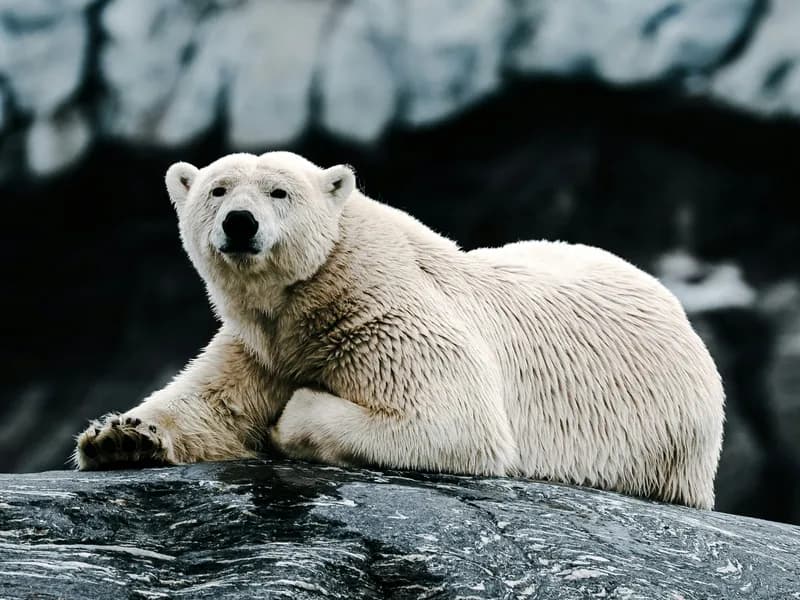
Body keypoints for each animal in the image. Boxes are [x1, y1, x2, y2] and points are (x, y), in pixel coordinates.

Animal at [74, 150, 725, 509]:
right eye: (217, 188)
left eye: (279, 191)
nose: (239, 223)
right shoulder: (260, 344)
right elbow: (209, 403)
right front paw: (120, 438)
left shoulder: (386, 316)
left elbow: (453, 420)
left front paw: (289, 417)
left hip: (663, 439)